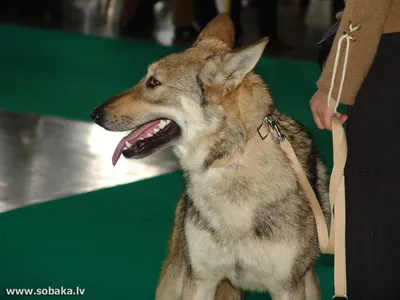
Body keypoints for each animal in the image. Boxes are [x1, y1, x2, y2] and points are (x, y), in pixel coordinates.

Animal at [91, 12, 332, 298]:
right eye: (146, 78)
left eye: (153, 82)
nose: (94, 114)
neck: (228, 162)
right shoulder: (200, 280)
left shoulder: (287, 288)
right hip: (175, 281)